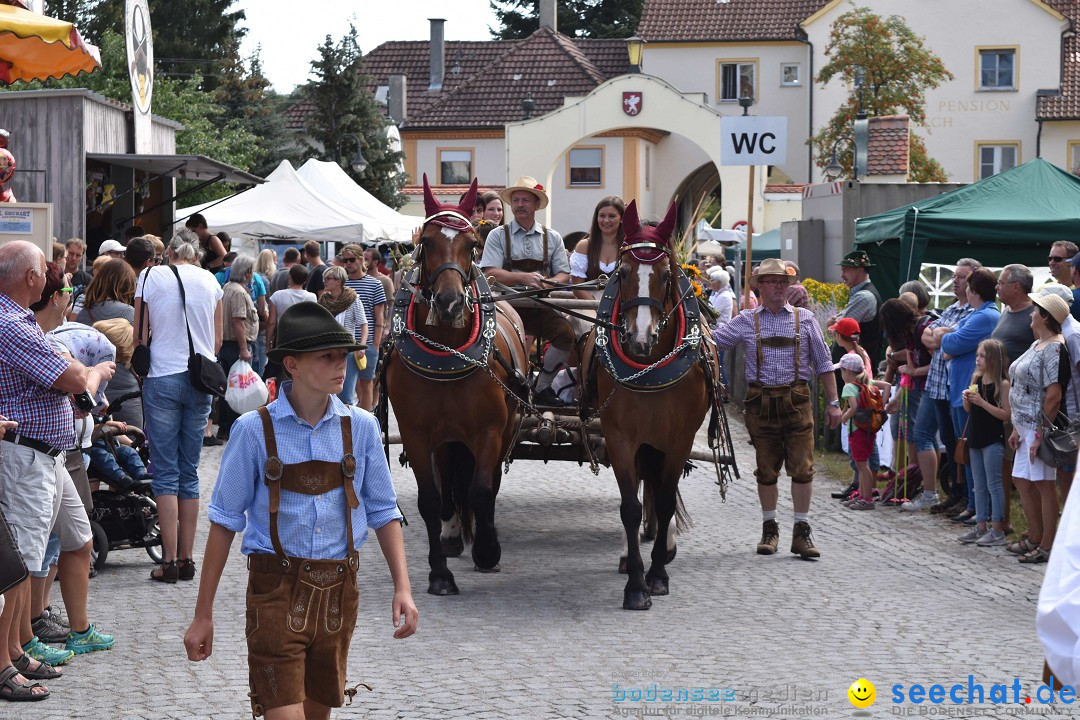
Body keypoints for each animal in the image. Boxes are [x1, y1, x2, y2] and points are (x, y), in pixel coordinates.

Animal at [384, 171, 527, 595]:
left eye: (472, 244)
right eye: (427, 242)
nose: (449, 303)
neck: (448, 353)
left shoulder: (489, 431)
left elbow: (481, 490)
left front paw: (487, 550)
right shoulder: (417, 434)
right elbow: (430, 499)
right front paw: (439, 574)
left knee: (487, 484)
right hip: (446, 439)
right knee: (448, 481)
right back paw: (450, 534)